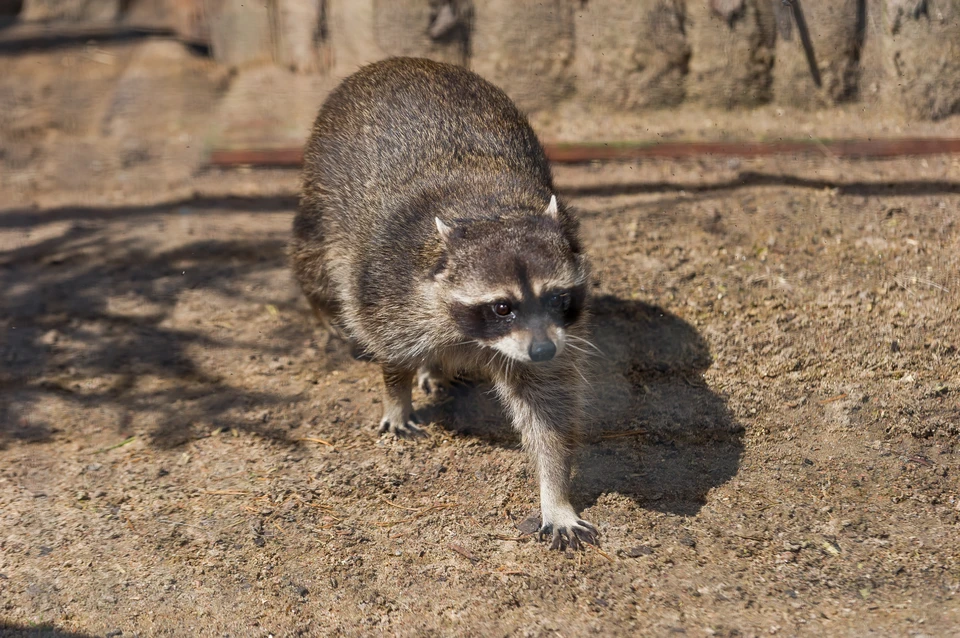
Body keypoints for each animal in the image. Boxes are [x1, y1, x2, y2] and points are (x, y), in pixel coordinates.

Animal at [288, 57, 596, 552]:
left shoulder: (556, 335)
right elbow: (389, 347)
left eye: (558, 298)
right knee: (315, 268)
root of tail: (399, 61)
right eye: (503, 307)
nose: (543, 349)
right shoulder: (387, 284)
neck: (490, 212)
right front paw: (396, 397)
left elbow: (548, 409)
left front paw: (555, 494)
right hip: (321, 198)